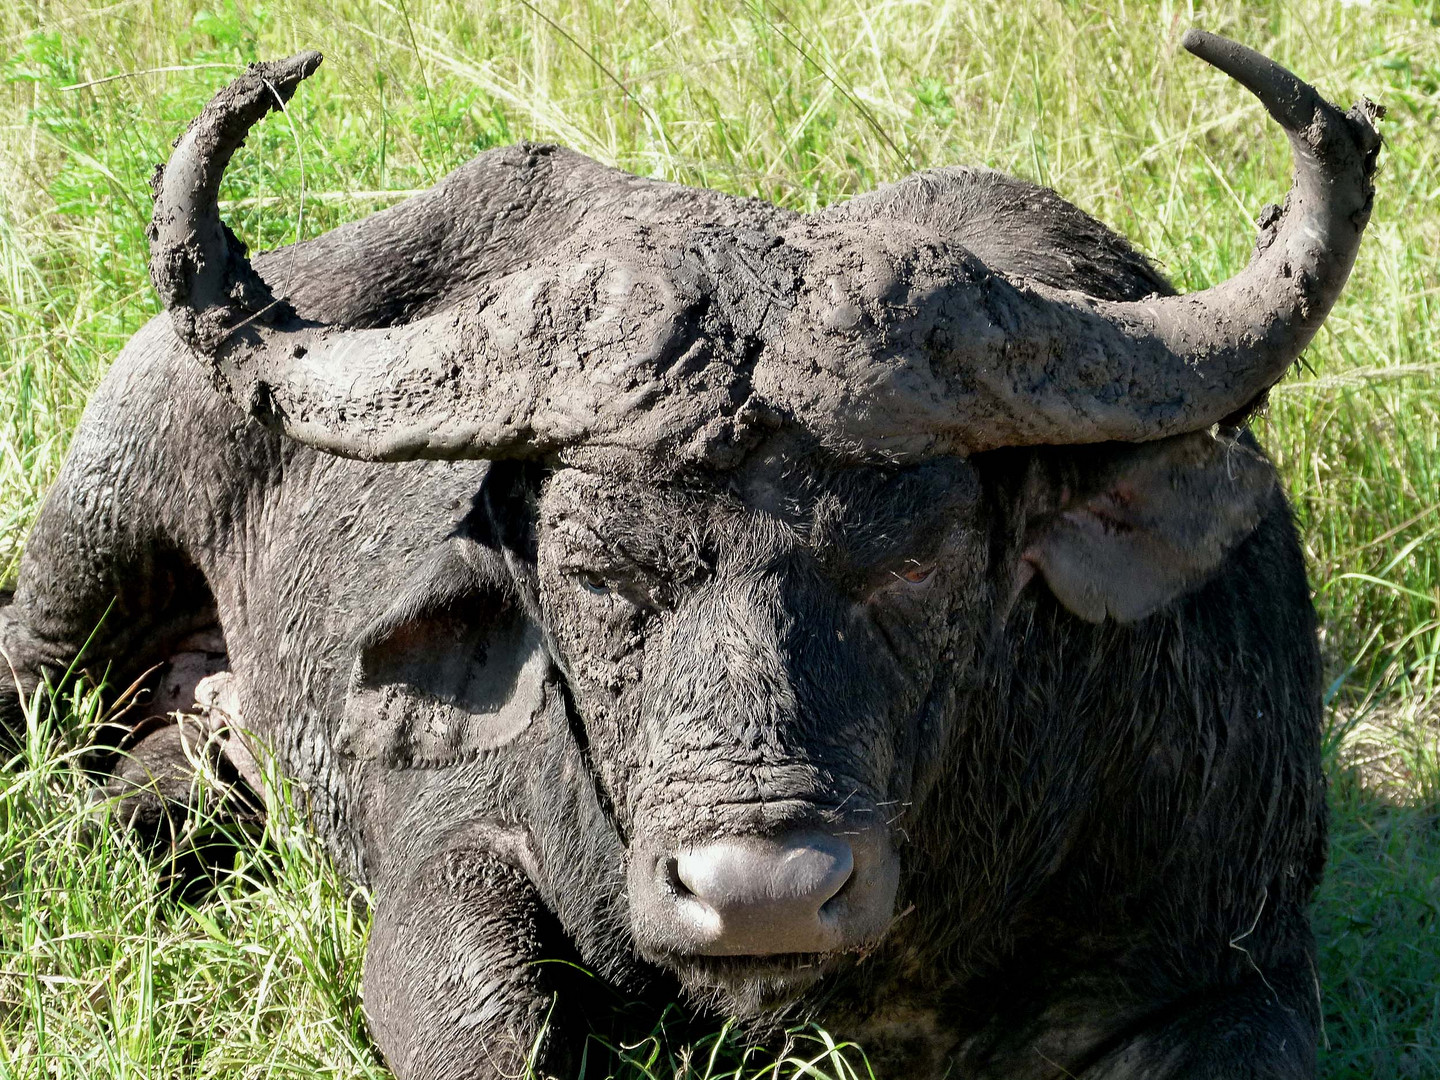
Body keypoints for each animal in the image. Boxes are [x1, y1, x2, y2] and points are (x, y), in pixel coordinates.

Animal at [5, 29, 1388, 1077]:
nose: (759, 889)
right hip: (91, 536)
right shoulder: (457, 862)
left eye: (917, 565)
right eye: (598, 577)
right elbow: (489, 1015)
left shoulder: (1235, 956)